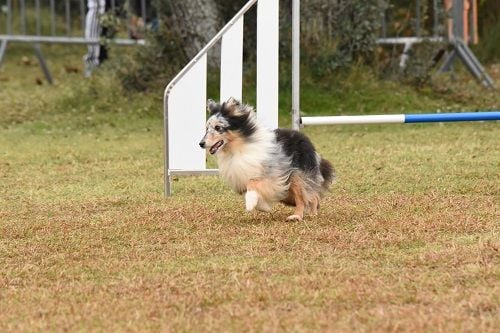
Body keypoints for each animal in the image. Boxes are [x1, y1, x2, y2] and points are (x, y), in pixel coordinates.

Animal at [197, 96, 334, 220]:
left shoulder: (274, 175)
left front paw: (251, 202)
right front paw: (262, 205)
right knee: (312, 195)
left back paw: (297, 216)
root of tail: (306, 140)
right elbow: (249, 191)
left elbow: (252, 182)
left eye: (218, 127)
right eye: (207, 128)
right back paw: (312, 212)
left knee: (303, 197)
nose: (201, 144)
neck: (237, 148)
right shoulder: (240, 177)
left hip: (297, 176)